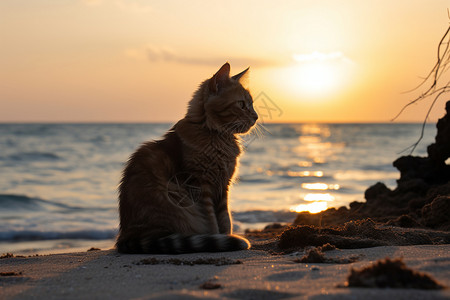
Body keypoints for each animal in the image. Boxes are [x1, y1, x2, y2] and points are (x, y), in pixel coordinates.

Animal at [114, 62, 258, 253]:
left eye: (252, 104)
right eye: (241, 104)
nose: (256, 117)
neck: (216, 137)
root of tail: (125, 237)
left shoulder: (223, 187)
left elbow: (225, 220)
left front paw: (226, 237)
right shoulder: (201, 187)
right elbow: (212, 222)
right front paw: (219, 238)